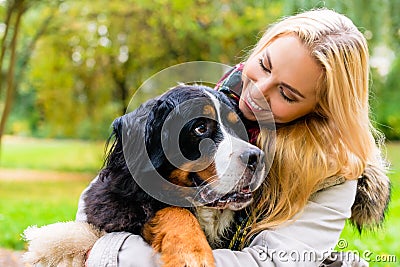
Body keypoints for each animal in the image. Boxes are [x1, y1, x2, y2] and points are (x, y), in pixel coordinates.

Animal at [23, 85, 266, 267]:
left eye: (239, 127)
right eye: (200, 128)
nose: (256, 157)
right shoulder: (116, 205)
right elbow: (173, 210)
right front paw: (191, 253)